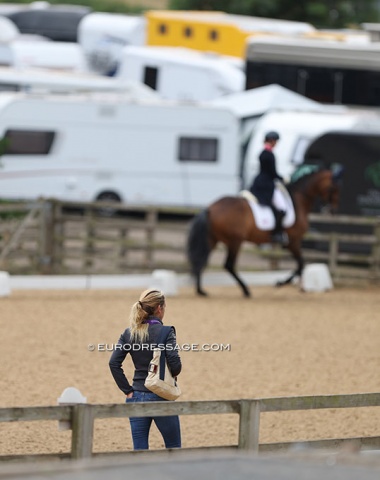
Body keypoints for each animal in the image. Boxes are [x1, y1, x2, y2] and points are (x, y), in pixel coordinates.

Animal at [186, 168, 342, 296]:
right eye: (334, 188)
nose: (333, 210)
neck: (299, 200)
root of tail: (211, 208)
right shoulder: (293, 242)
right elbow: (300, 266)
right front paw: (280, 283)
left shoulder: (293, 243)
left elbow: (300, 266)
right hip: (235, 241)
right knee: (228, 265)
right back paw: (246, 290)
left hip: (213, 239)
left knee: (202, 259)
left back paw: (201, 291)